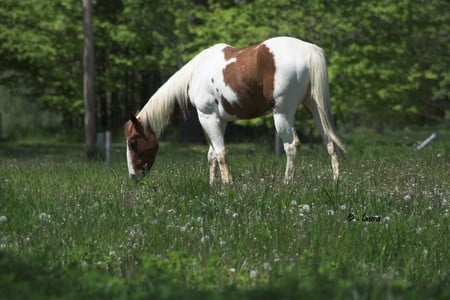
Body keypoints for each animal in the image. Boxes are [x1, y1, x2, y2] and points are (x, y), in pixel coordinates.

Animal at [123, 36, 344, 184]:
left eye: (133, 142)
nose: (133, 176)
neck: (194, 76)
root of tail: (308, 50)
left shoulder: (207, 118)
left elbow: (220, 153)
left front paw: (227, 185)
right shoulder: (219, 121)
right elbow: (212, 154)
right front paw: (213, 185)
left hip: (282, 114)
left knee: (292, 146)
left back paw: (286, 184)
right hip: (314, 107)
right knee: (328, 141)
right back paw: (335, 180)